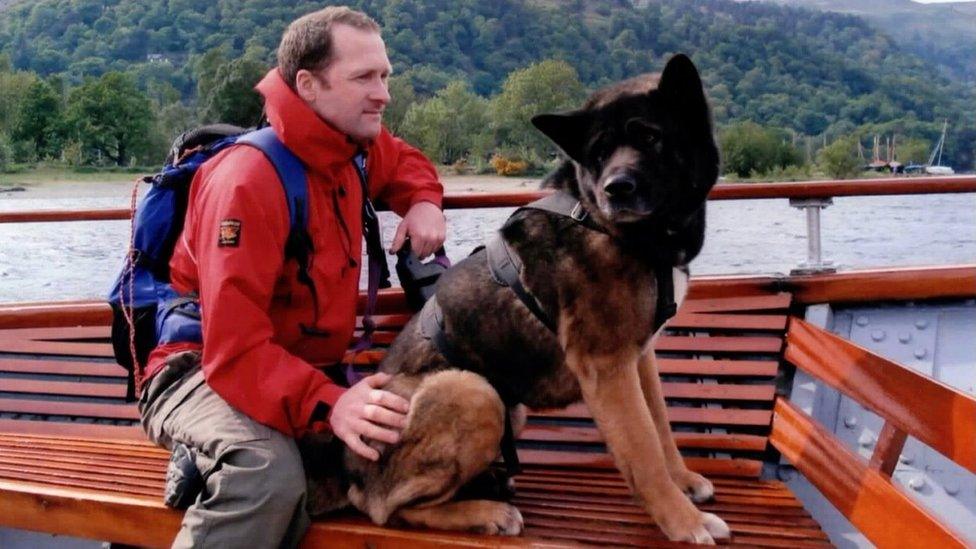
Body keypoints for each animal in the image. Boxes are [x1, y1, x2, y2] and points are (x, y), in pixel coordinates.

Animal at [308, 55, 728, 544]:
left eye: (651, 137)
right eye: (598, 155)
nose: (616, 189)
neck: (602, 222)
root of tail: (347, 472)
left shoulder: (639, 358)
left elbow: (660, 428)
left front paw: (683, 481)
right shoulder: (607, 368)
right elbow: (643, 452)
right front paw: (685, 522)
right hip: (471, 391)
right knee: (390, 510)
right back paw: (486, 511)